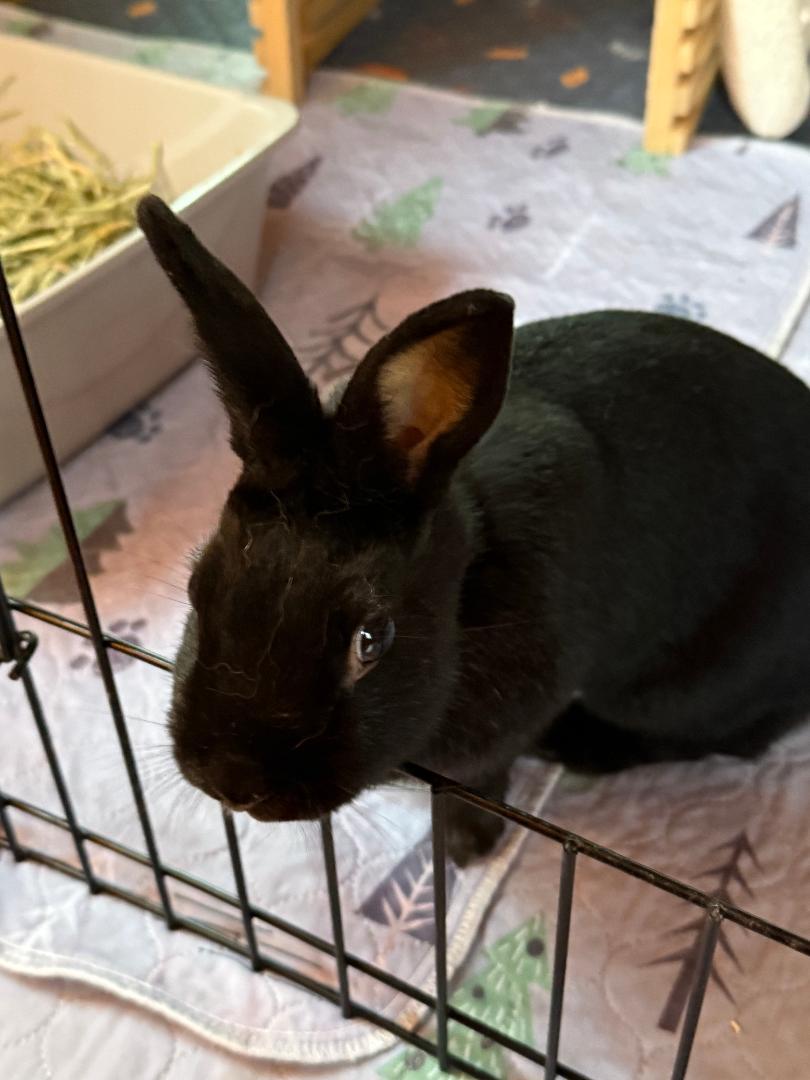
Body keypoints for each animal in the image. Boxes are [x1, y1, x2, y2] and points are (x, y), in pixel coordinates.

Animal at [138, 195, 810, 866]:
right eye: (198, 587)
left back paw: (575, 745)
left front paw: (467, 847)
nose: (233, 781)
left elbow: (480, 781)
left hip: (687, 684)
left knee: (731, 736)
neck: (466, 582)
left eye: (370, 640)